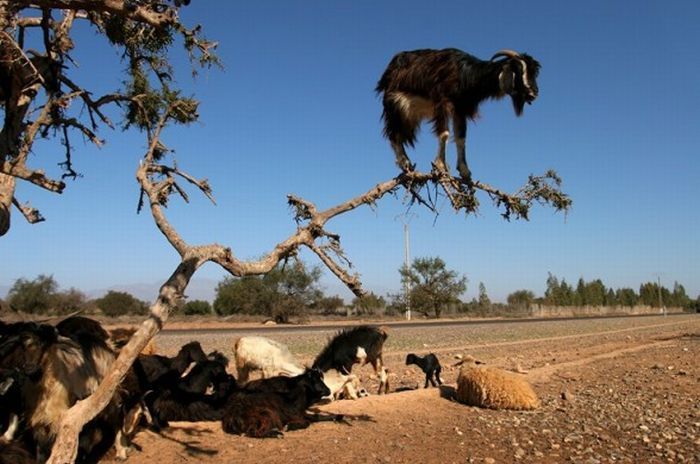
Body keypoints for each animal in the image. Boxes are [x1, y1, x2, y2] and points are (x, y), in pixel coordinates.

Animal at [378, 47, 540, 183]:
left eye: (534, 73)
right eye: (517, 71)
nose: (533, 94)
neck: (465, 74)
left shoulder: (460, 109)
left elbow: (461, 138)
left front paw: (465, 171)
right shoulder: (442, 102)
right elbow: (444, 133)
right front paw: (441, 166)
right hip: (395, 105)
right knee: (393, 134)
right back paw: (405, 163)